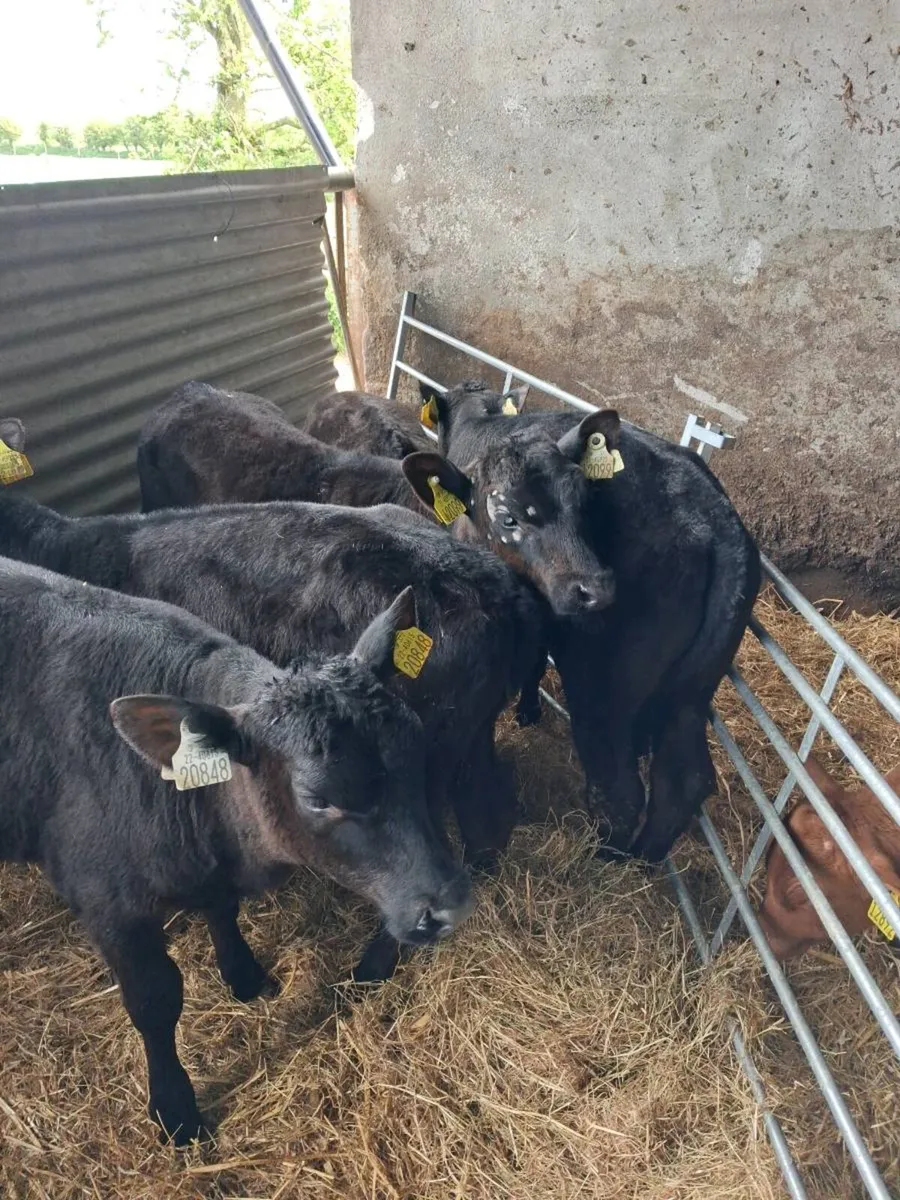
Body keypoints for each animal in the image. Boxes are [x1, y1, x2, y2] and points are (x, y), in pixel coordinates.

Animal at [0, 556, 471, 1144]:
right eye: (318, 798)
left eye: (419, 749)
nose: (449, 904)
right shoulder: (108, 902)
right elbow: (155, 999)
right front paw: (175, 1109)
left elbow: (223, 911)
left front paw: (243, 975)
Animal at [418, 379, 762, 863]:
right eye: (509, 517)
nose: (595, 587)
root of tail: (714, 518)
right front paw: (528, 710)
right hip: (691, 689)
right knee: (683, 779)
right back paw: (644, 861)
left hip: (604, 684)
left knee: (620, 790)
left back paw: (605, 856)